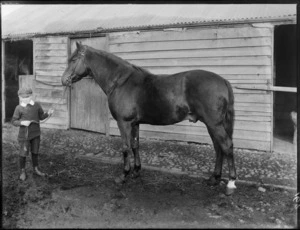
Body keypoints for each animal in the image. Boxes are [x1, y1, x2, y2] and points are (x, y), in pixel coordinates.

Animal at [61, 42, 237, 195]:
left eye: (74, 60)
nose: (63, 80)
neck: (120, 82)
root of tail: (223, 81)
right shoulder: (134, 123)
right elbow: (135, 145)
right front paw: (136, 171)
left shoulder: (123, 123)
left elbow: (125, 147)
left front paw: (123, 176)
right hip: (212, 125)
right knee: (219, 149)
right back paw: (214, 179)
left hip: (214, 124)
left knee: (226, 146)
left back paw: (230, 183)